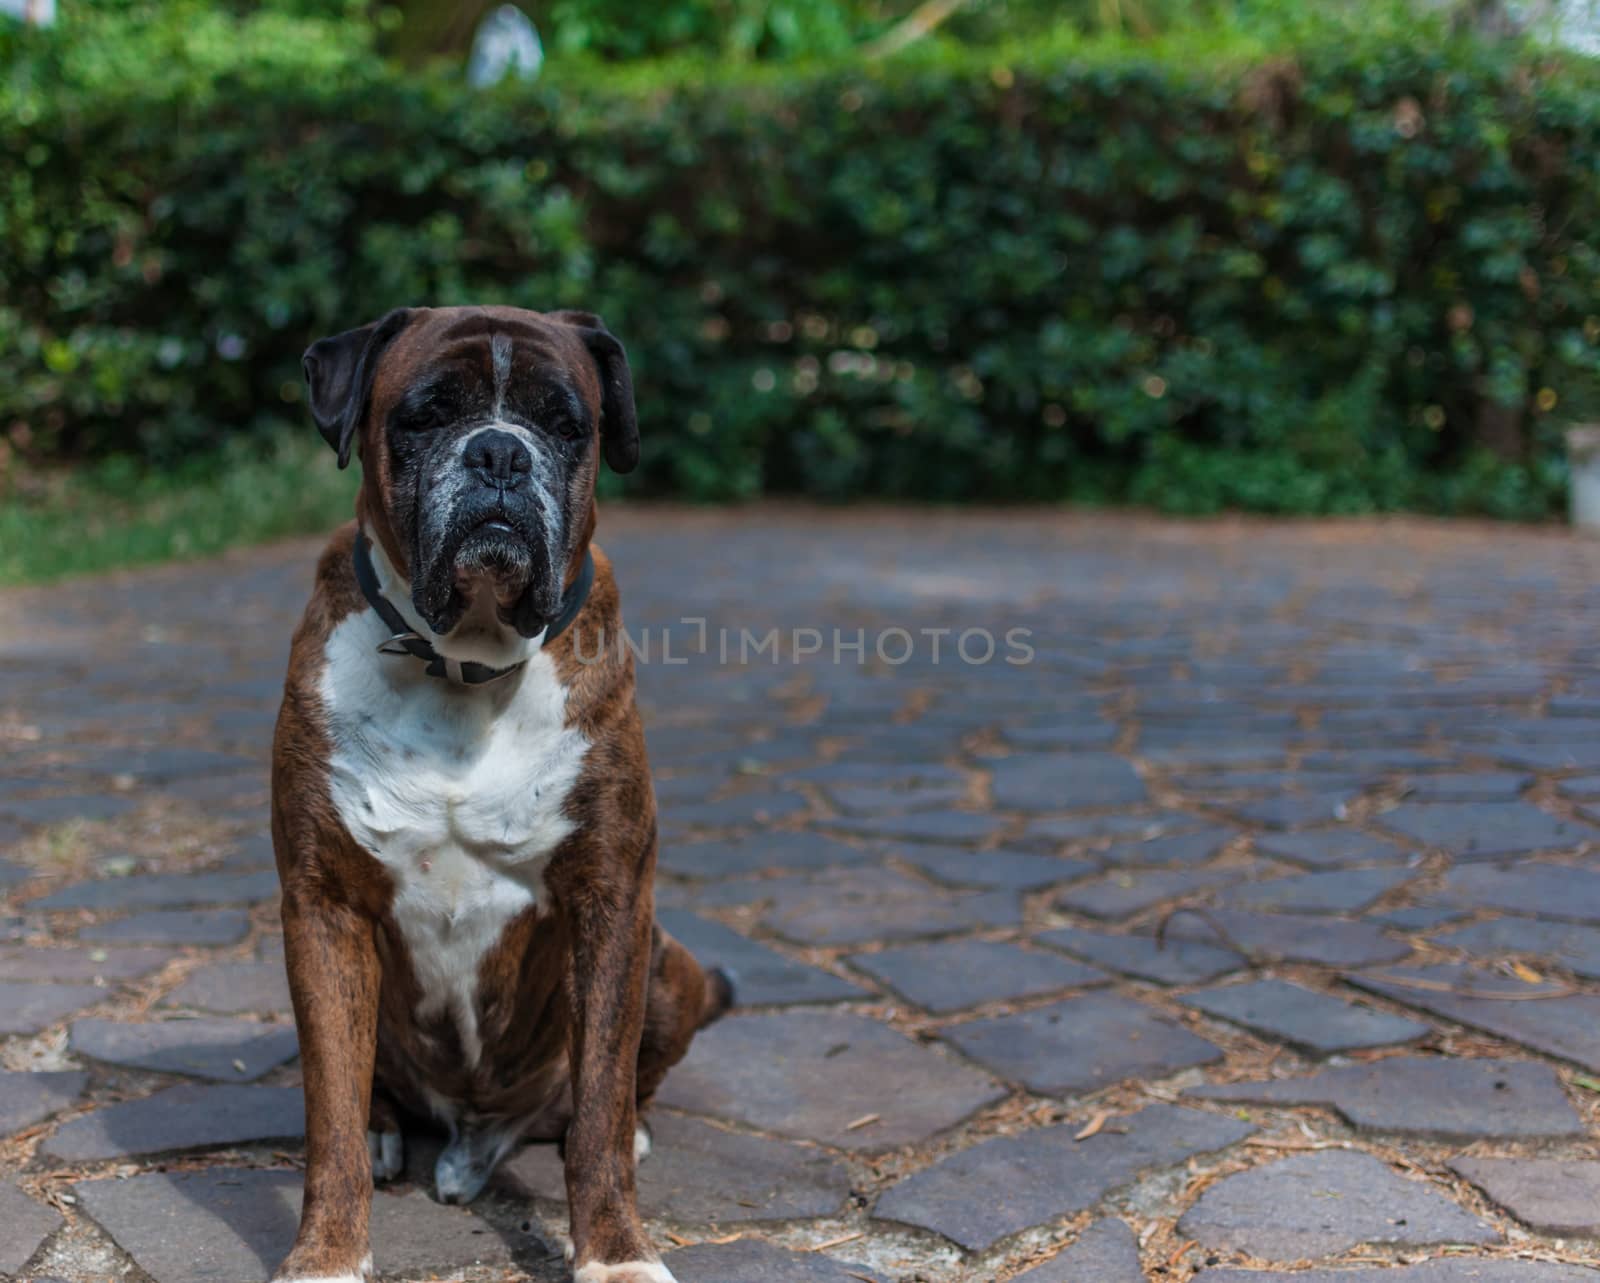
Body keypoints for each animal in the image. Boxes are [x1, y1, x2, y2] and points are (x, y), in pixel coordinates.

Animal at [270, 302, 732, 1279]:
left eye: (564, 424)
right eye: (425, 415)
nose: (498, 455)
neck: (467, 665)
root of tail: (475, 1136)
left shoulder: (611, 898)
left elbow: (598, 1109)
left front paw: (615, 1249)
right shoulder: (322, 904)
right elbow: (328, 1110)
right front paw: (327, 1252)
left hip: (670, 960)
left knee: (606, 1099)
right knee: (363, 1091)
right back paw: (387, 1132)